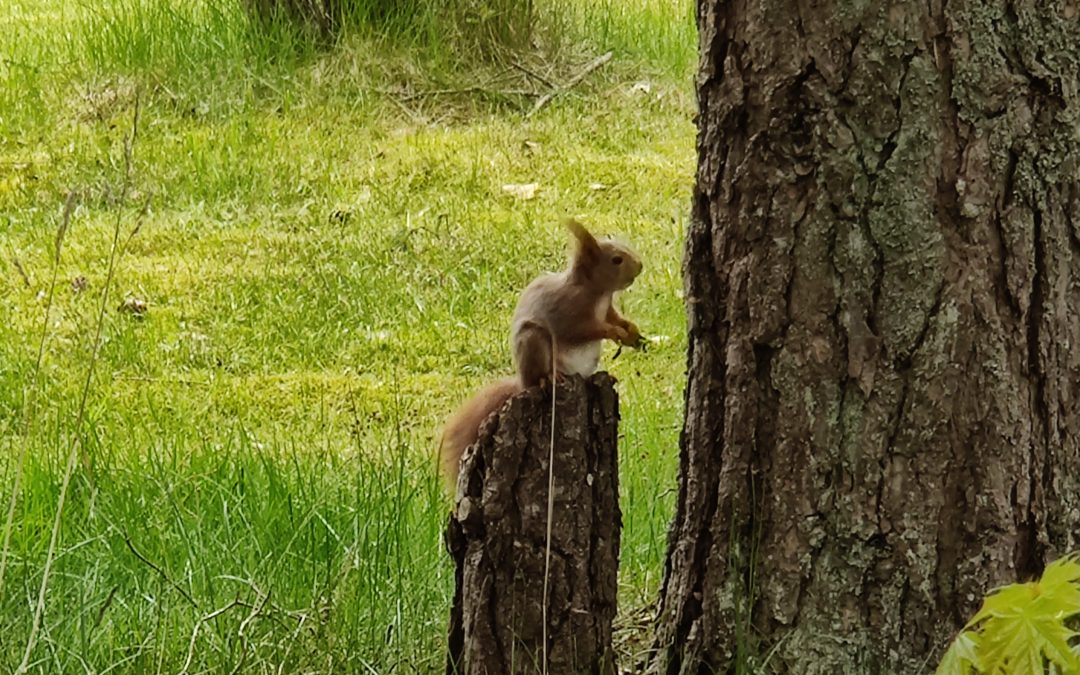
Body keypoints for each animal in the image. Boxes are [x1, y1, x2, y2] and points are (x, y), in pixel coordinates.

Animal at [436, 218, 639, 486]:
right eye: (616, 260)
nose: (640, 266)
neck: (598, 293)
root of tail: (522, 383)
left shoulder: (606, 309)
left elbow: (616, 318)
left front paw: (630, 331)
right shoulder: (568, 313)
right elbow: (586, 330)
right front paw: (615, 332)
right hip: (534, 341)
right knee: (540, 374)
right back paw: (549, 377)